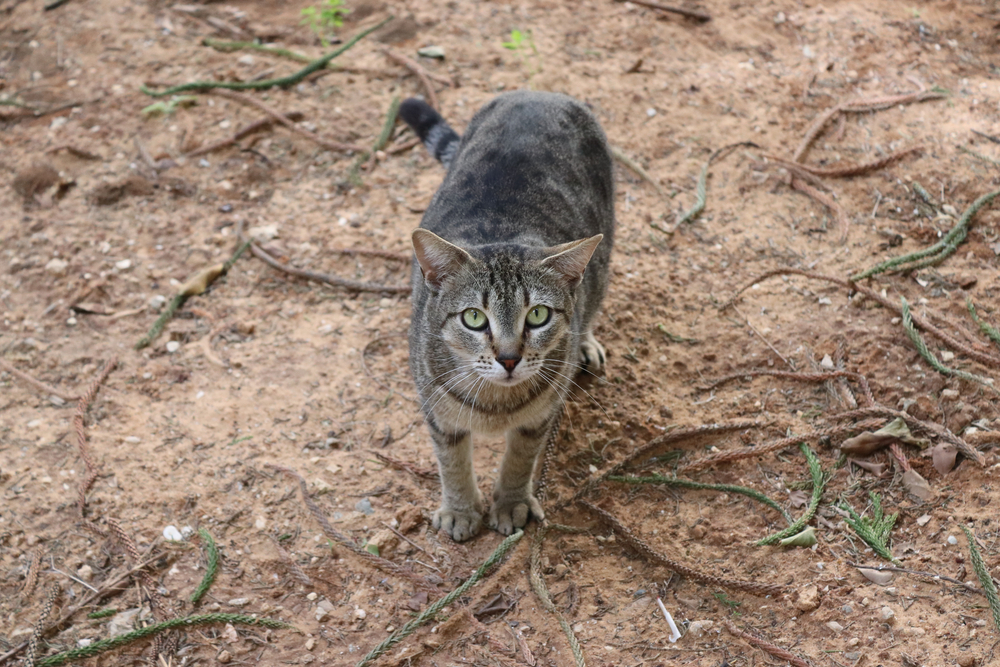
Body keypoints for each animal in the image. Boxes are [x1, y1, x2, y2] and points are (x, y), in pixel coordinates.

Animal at [396, 91, 612, 540]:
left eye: (539, 315)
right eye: (474, 319)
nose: (510, 358)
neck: (496, 405)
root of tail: (537, 92)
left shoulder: (540, 418)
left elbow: (520, 459)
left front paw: (511, 503)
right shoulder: (437, 414)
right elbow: (452, 463)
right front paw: (460, 509)